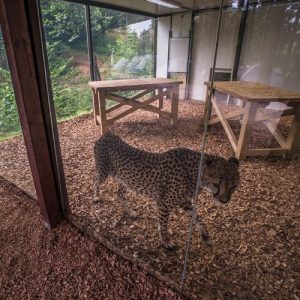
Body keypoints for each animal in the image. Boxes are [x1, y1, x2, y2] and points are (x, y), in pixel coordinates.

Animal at [94, 132, 239, 250]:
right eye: (216, 184)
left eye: (233, 187)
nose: (224, 201)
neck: (197, 175)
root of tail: (107, 135)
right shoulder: (163, 203)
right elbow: (163, 224)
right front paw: (166, 242)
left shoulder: (185, 202)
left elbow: (198, 218)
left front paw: (206, 236)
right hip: (103, 172)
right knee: (95, 180)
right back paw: (96, 197)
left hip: (126, 181)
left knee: (118, 194)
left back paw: (130, 212)